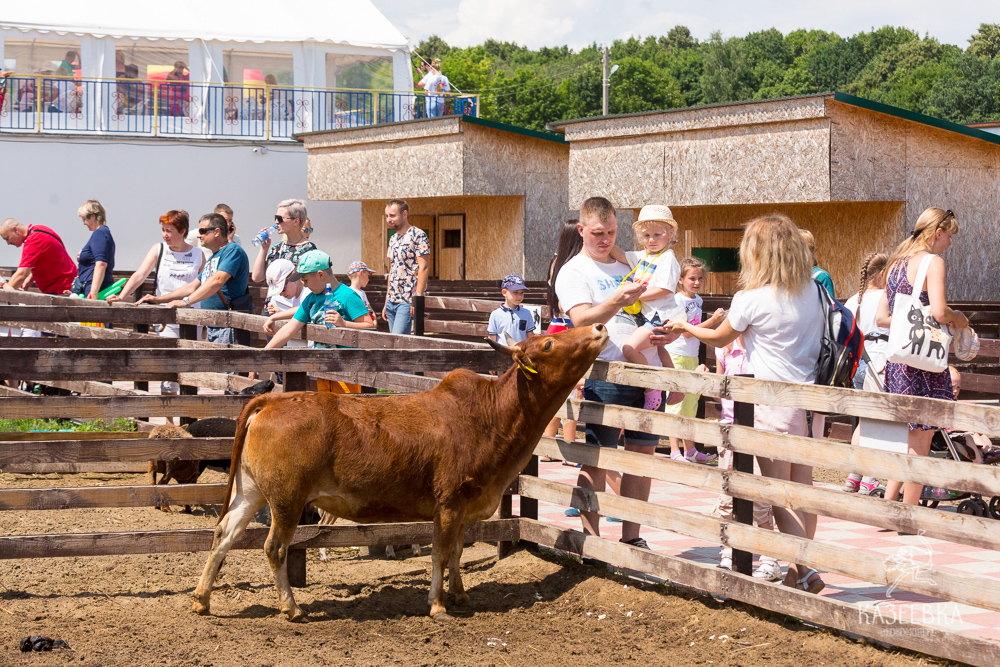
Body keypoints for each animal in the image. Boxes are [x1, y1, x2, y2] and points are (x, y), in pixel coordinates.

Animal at [191, 324, 604, 620]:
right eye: (548, 345)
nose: (599, 327)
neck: (488, 414)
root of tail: (271, 401)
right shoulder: (449, 504)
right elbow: (441, 554)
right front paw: (437, 605)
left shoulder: (462, 507)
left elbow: (456, 552)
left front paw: (460, 594)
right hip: (287, 500)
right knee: (274, 548)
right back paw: (291, 608)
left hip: (251, 490)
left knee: (224, 533)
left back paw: (202, 598)